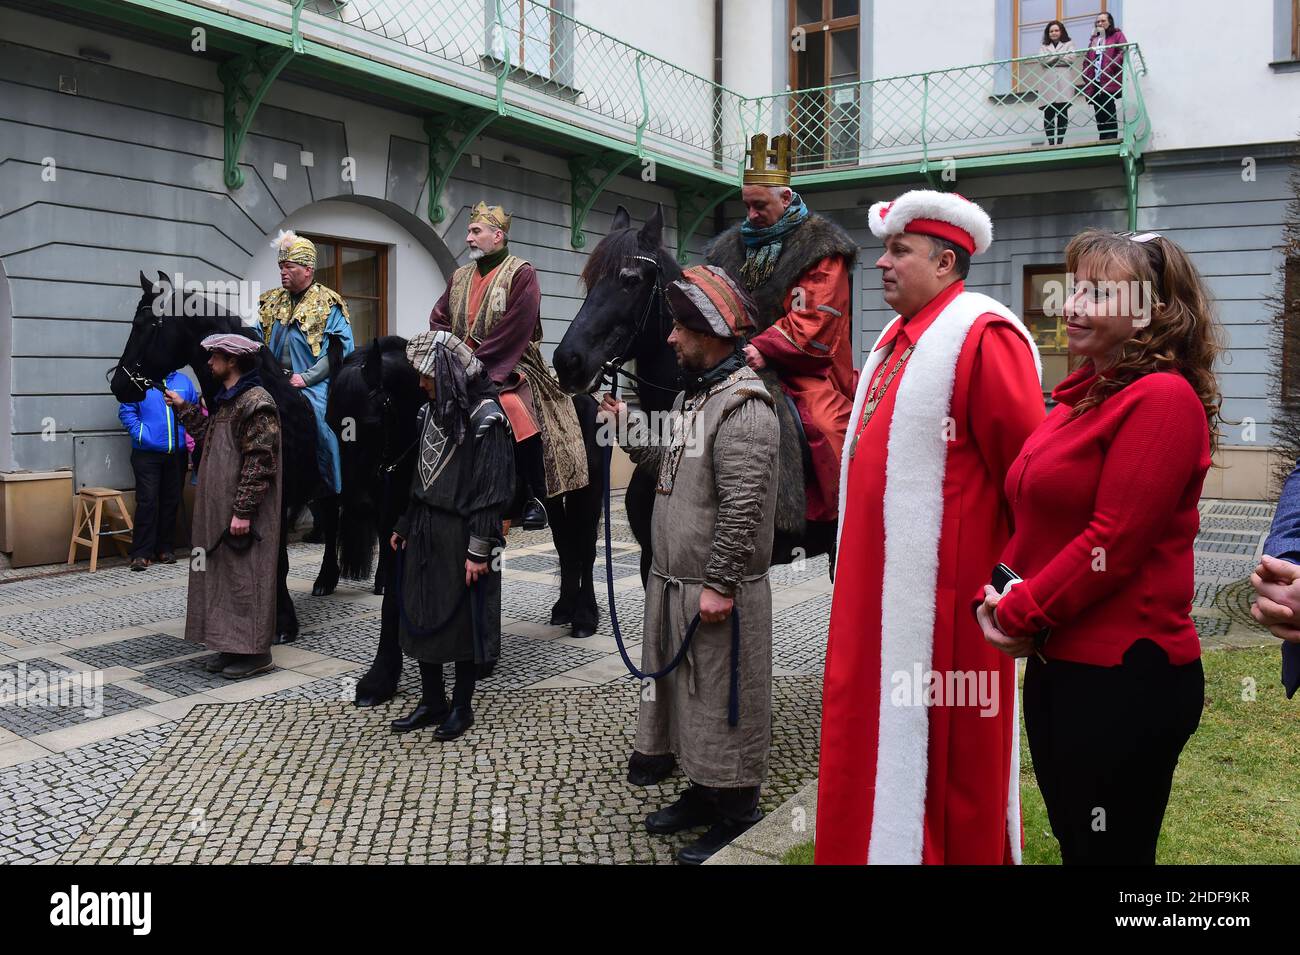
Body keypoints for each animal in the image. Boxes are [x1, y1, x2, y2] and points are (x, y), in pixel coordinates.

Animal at [327, 335, 605, 712]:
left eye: (371, 422)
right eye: (330, 423)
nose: (356, 505)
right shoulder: (396, 528)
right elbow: (393, 599)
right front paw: (380, 678)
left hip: (587, 492)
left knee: (586, 550)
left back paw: (584, 617)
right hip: (555, 497)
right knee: (565, 547)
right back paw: (563, 607)